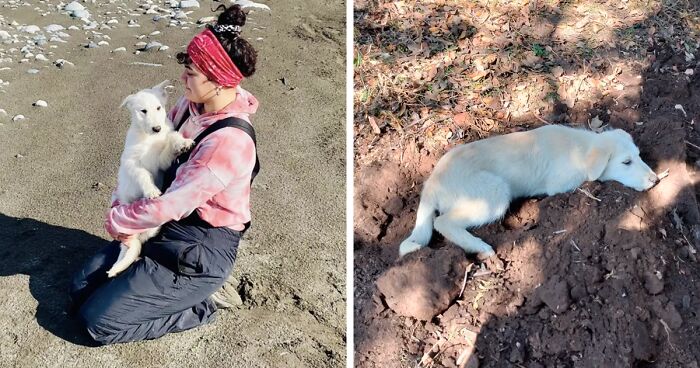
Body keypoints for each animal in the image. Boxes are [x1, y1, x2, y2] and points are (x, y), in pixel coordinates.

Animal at [104, 80, 193, 276]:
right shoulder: (132, 163)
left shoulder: (162, 160)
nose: (157, 128)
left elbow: (171, 139)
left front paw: (183, 143)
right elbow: (143, 174)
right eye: (143, 111)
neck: (148, 138)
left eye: (159, 107)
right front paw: (151, 191)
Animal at [402, 123, 660, 258]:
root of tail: (432, 183)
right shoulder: (560, 183)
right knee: (442, 222)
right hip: (494, 192)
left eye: (639, 156)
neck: (580, 148)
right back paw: (480, 247)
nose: (655, 179)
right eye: (626, 162)